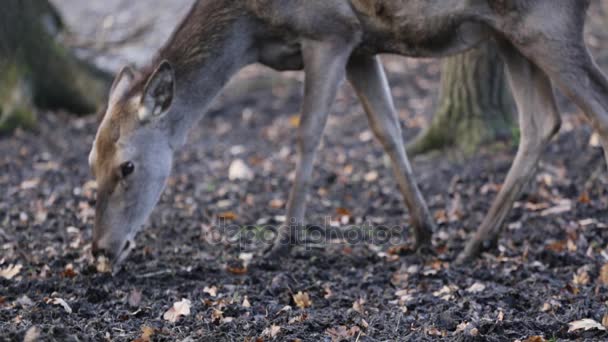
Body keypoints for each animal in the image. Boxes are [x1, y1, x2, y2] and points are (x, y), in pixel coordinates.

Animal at [89, 0, 608, 272]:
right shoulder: (362, 45)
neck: (250, 28)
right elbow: (387, 129)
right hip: (508, 31)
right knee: (542, 120)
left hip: (546, 20)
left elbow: (308, 134)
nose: (100, 249)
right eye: (91, 164)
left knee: (596, 110)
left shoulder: (330, 31)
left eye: (127, 166)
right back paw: (477, 242)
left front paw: (281, 243)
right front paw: (423, 231)